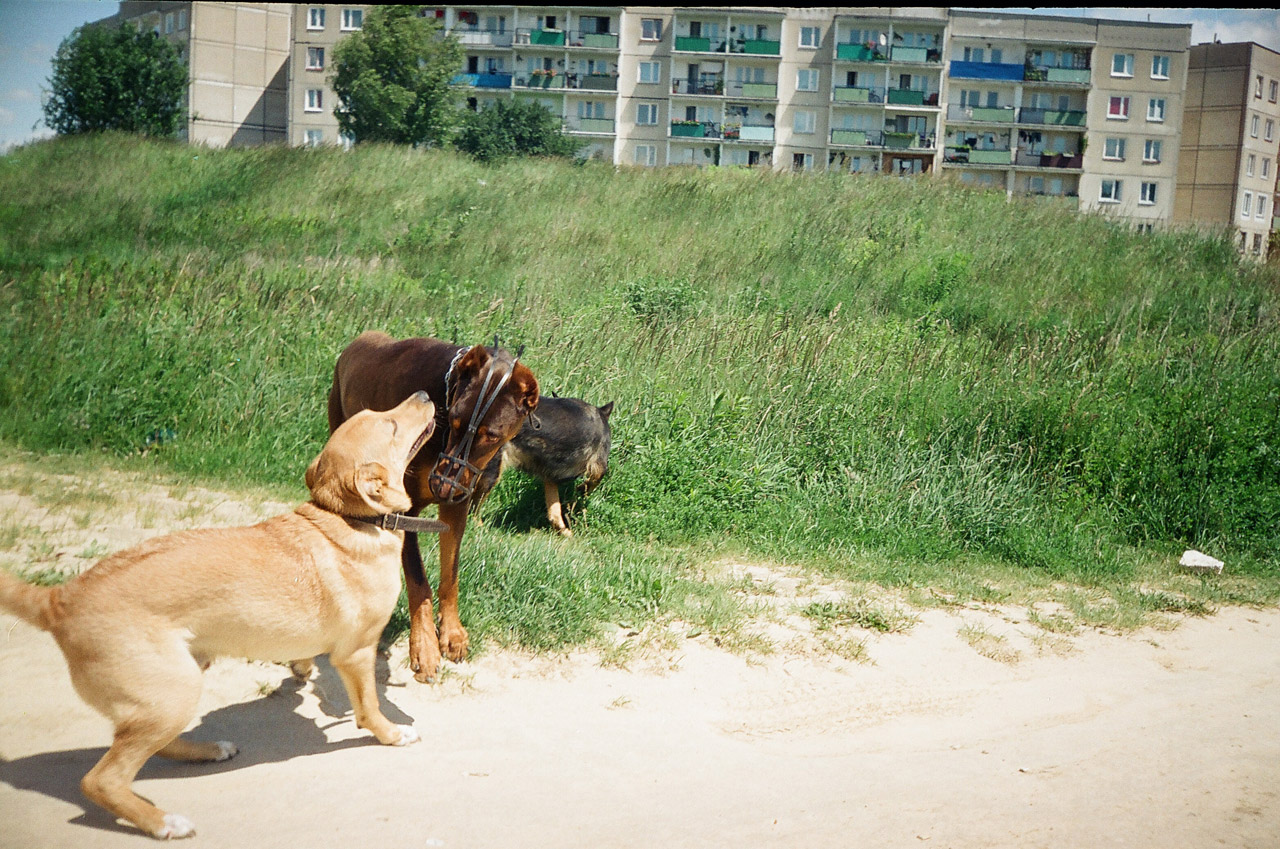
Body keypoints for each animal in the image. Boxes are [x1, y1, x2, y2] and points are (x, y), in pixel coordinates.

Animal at [0, 394, 435, 845]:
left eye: (378, 416)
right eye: (389, 426)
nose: (423, 395)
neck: (346, 518)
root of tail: (59, 599)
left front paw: (300, 669)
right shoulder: (356, 653)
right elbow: (369, 708)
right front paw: (392, 735)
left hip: (174, 687)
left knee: (157, 744)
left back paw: (208, 751)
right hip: (174, 691)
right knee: (102, 780)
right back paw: (163, 822)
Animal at [325, 332, 540, 686]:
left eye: (491, 435)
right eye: (454, 419)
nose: (443, 484)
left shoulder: (458, 504)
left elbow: (450, 573)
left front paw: (451, 633)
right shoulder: (405, 508)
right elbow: (418, 579)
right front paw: (424, 646)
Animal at [471, 394, 614, 535]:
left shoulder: (550, 479)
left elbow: (554, 513)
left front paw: (565, 533)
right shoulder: (599, 465)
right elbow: (593, 482)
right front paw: (581, 489)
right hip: (491, 473)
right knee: (473, 507)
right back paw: (480, 529)